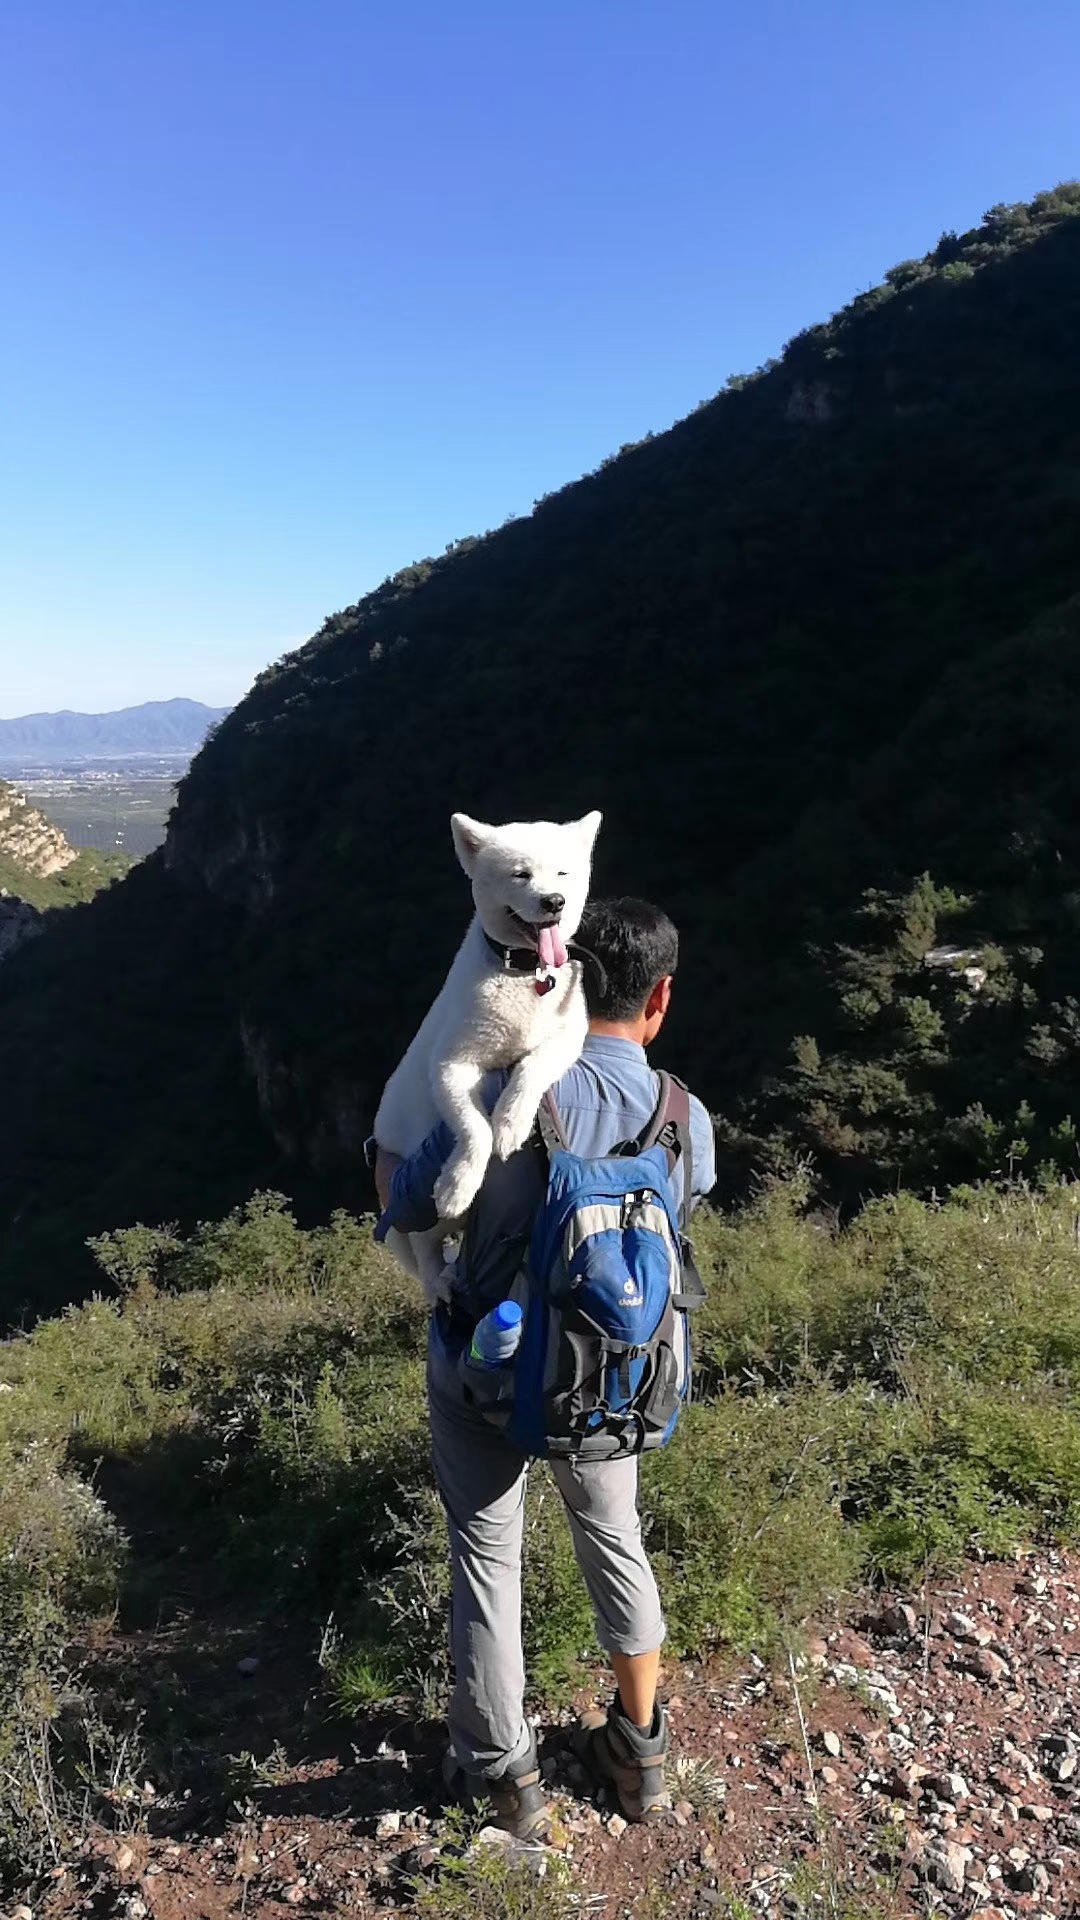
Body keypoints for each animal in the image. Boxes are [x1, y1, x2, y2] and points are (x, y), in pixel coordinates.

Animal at [374, 802, 599, 1297]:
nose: (554, 901)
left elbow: (532, 1067)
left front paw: (512, 1123)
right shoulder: (452, 1063)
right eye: (520, 874)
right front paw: (458, 1182)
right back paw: (439, 1280)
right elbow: (473, 1126)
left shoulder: (568, 1036)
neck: (523, 974)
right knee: (424, 1245)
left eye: (563, 871)